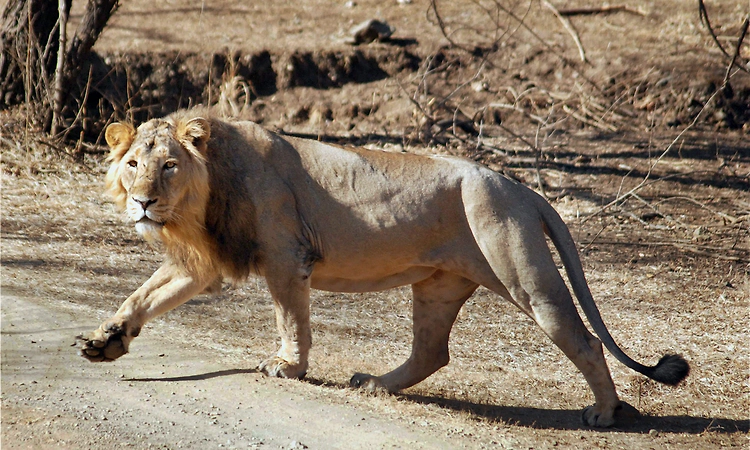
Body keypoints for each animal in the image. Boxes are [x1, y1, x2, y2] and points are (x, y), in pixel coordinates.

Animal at [76, 108, 689, 427]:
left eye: (169, 166)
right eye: (131, 164)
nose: (144, 203)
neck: (200, 203)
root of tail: (521, 187)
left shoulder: (286, 257)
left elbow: (290, 320)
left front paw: (287, 367)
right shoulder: (203, 262)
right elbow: (142, 296)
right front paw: (105, 341)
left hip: (525, 275)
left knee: (585, 340)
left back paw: (604, 413)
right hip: (439, 286)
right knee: (432, 352)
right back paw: (374, 384)